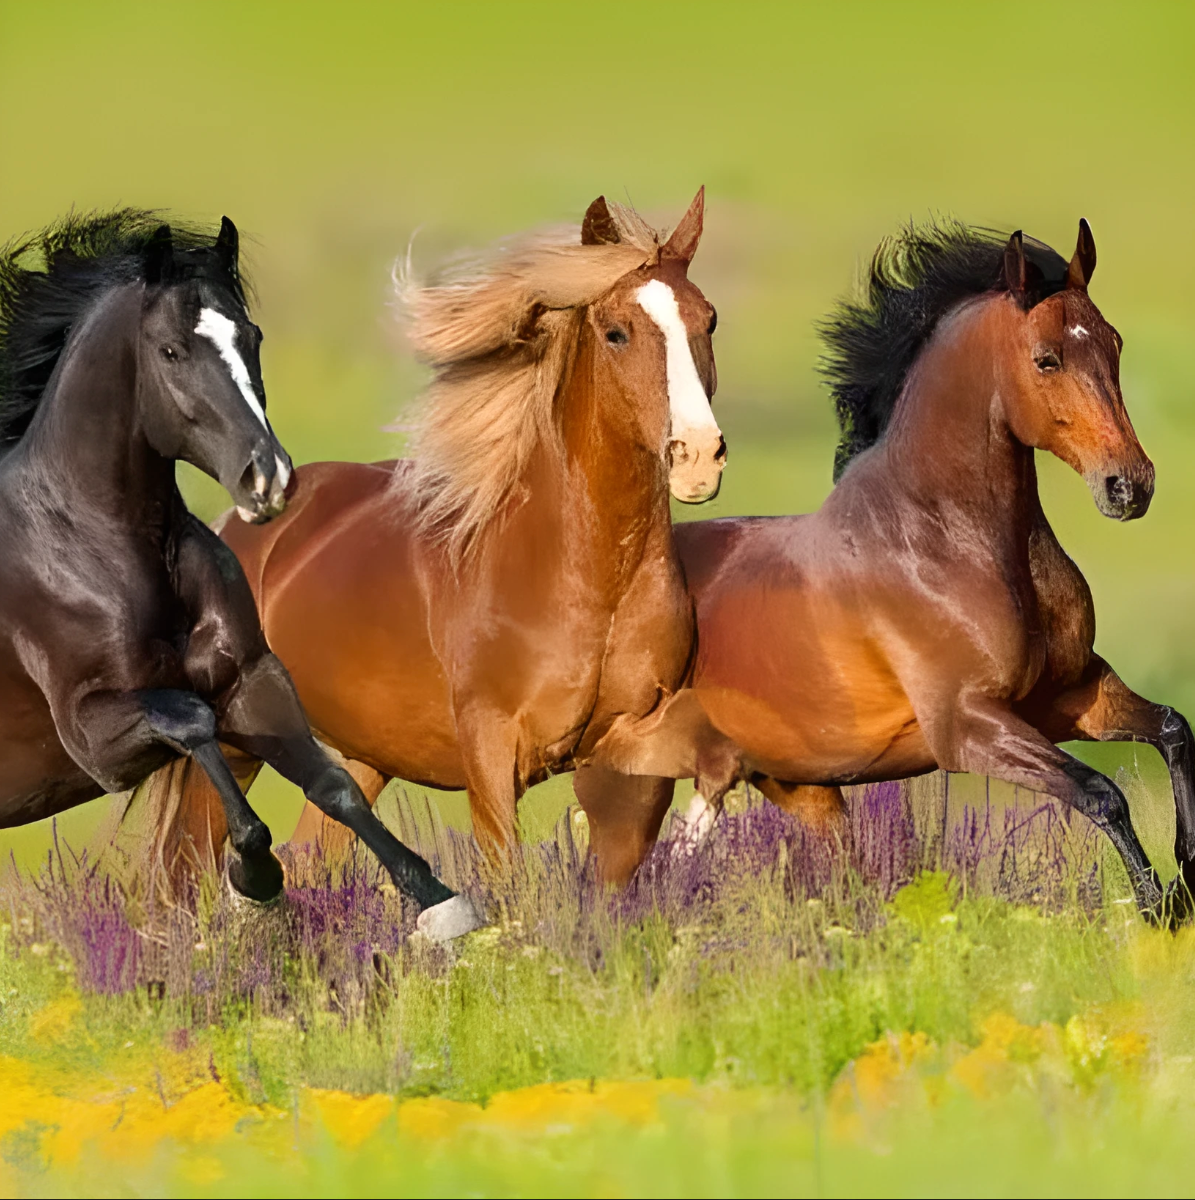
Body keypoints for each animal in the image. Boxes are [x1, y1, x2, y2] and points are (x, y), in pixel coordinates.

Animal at [0, 211, 471, 938]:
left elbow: (333, 785)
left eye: (251, 336)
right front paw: (256, 875)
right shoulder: (94, 739)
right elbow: (192, 720)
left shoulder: (252, 678)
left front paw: (440, 902)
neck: (94, 548)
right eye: (169, 350)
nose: (267, 477)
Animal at [136, 190, 726, 883]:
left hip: (362, 755)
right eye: (616, 332)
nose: (698, 457)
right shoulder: (492, 757)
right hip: (237, 745)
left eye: (709, 320)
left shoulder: (637, 745)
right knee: (186, 871)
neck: (587, 576)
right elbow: (508, 880)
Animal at [581, 219, 1195, 922]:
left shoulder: (1068, 696)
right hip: (629, 787)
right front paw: (1161, 907)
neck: (945, 542)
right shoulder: (968, 726)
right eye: (1047, 359)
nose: (1130, 486)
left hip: (797, 788)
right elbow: (1101, 793)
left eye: (1114, 343)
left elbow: (1173, 730)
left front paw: (1187, 873)